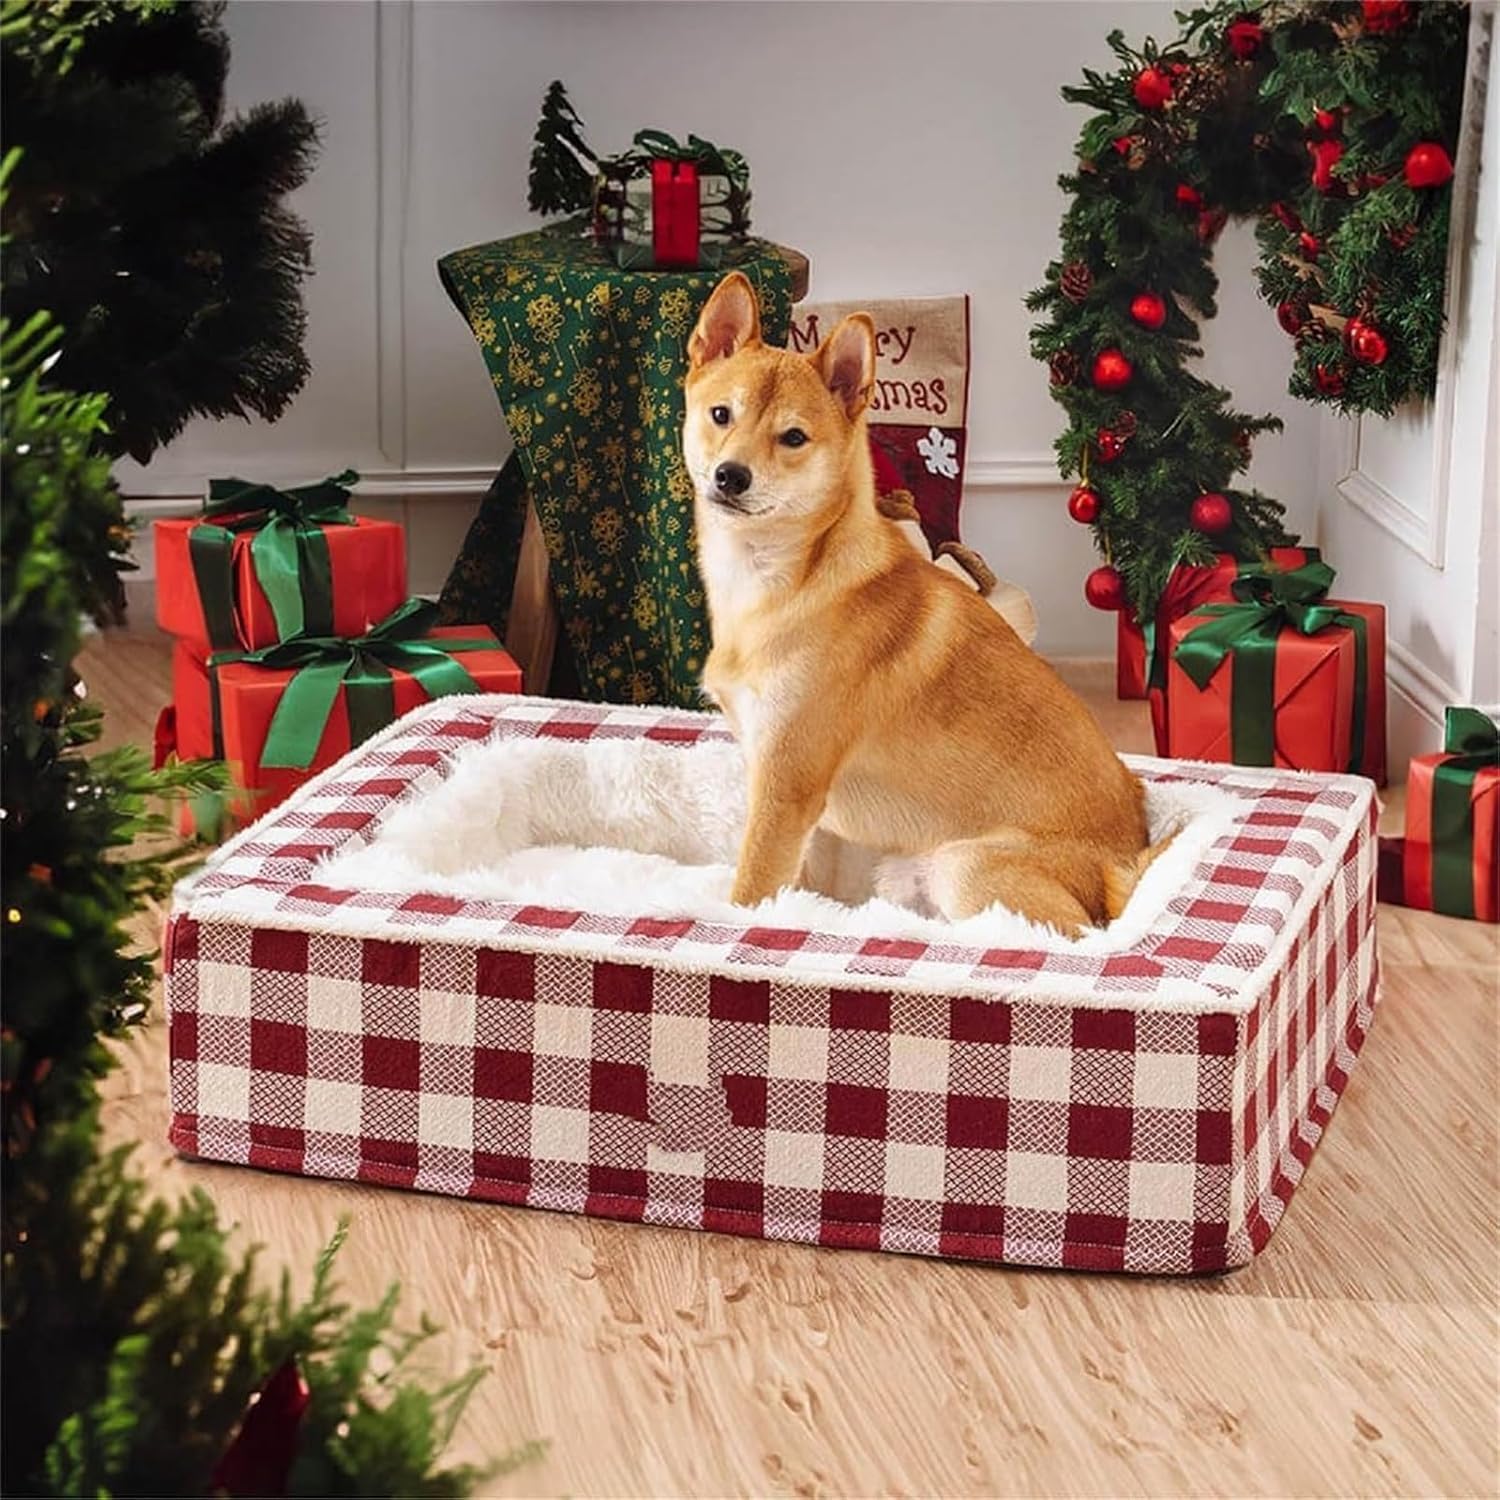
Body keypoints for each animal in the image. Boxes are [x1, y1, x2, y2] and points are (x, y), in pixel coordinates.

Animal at [681, 268, 1158, 924]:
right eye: (721, 414)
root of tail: (1124, 864)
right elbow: (799, 884)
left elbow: (749, 891)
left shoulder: (785, 787)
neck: (787, 582)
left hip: (966, 867)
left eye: (794, 437)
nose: (731, 475)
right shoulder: (793, 796)